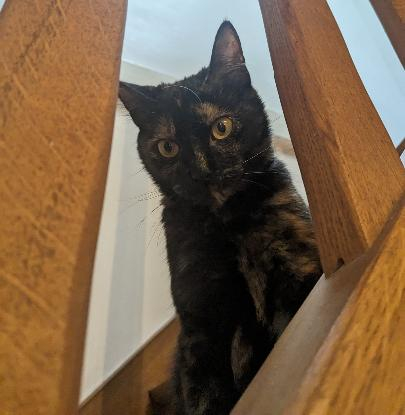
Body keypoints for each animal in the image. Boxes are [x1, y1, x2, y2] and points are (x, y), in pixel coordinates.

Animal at [119, 20, 322, 415]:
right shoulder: (202, 330)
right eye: (168, 147)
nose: (200, 171)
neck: (227, 223)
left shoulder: (300, 271)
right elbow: (205, 398)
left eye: (222, 128)